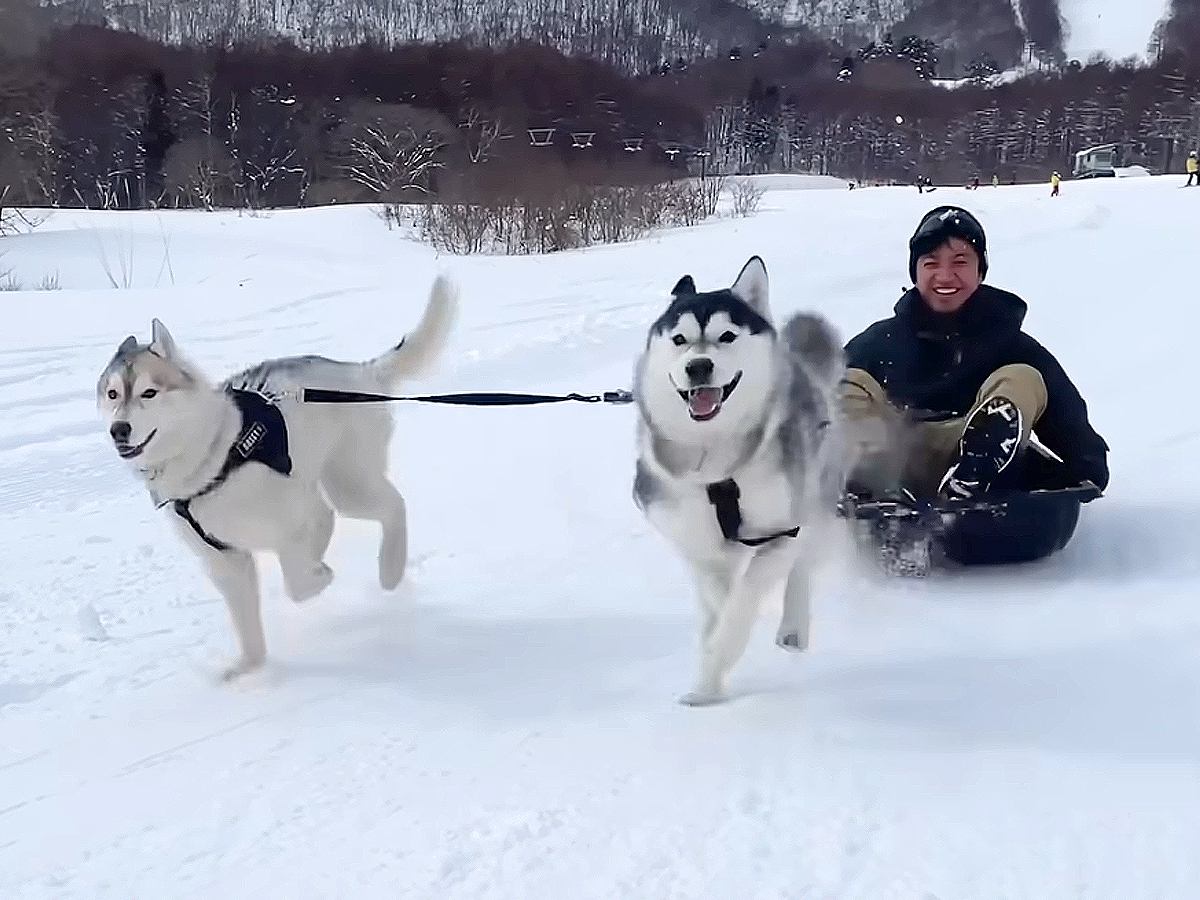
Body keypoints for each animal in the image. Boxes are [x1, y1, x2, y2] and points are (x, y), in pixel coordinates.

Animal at [94, 278, 453, 681]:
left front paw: (320, 575)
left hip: (349, 483)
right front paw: (249, 667)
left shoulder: (295, 521)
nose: (119, 430)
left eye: (149, 392)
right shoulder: (227, 561)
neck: (211, 457)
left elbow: (298, 583)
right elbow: (247, 620)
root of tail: (360, 373)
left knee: (393, 507)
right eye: (112, 394)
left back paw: (390, 569)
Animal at [633, 256, 849, 710]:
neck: (715, 460)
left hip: (816, 493)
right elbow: (719, 601)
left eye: (726, 336)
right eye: (679, 340)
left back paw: (793, 627)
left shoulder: (783, 532)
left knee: (802, 565)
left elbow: (742, 601)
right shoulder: (694, 542)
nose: (698, 366)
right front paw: (708, 679)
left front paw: (718, 658)